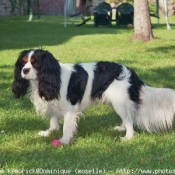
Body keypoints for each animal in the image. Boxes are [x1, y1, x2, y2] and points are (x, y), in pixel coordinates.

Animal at [11, 49, 175, 145]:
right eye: (23, 63)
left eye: (35, 64)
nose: (24, 71)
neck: (48, 78)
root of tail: (131, 72)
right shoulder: (53, 103)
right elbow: (54, 120)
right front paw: (49, 131)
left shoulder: (69, 109)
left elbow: (66, 127)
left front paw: (64, 140)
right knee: (127, 118)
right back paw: (121, 128)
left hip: (119, 101)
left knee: (129, 120)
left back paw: (128, 136)